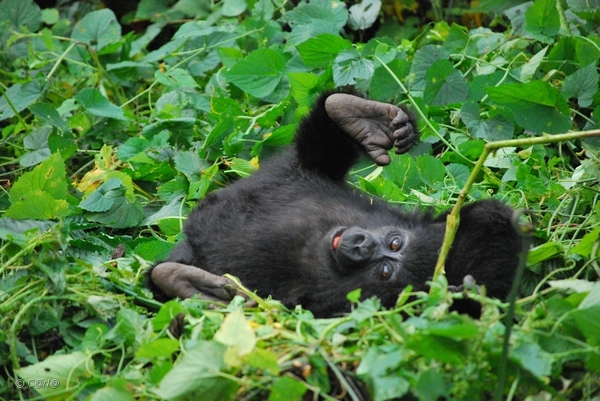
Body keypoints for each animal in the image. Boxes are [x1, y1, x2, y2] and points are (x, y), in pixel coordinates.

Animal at [149, 90, 520, 316]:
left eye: (385, 271)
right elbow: (492, 217)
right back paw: (359, 117)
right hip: (281, 177)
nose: (360, 245)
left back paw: (185, 282)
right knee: (316, 157)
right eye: (395, 242)